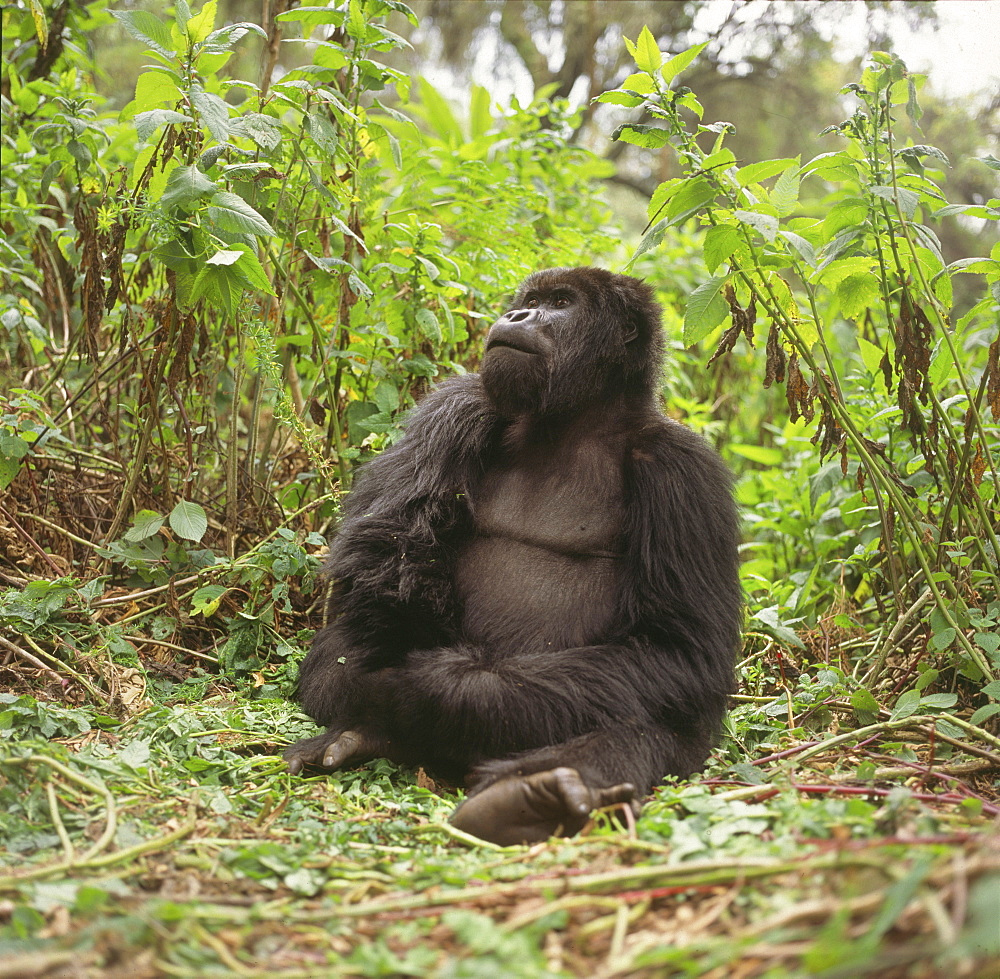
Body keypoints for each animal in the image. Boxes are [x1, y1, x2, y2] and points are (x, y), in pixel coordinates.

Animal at [284, 266, 744, 844]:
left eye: (562, 303)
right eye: (531, 300)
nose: (516, 315)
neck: (576, 422)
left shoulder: (683, 470)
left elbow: (679, 651)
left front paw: (435, 687)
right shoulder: (462, 402)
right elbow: (380, 554)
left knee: (645, 724)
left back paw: (530, 795)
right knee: (340, 654)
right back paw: (364, 737)